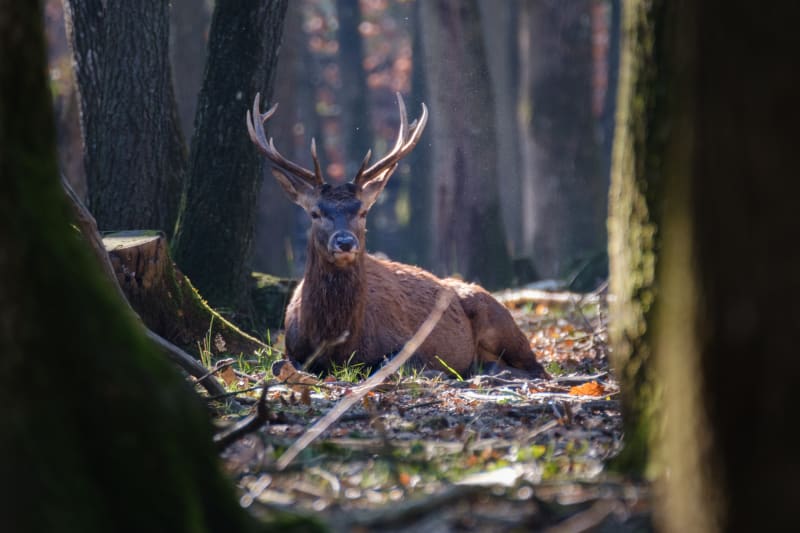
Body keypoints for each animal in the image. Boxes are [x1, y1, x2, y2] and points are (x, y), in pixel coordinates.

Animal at [248, 91, 552, 378]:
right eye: (315, 213)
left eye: (363, 211)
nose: (345, 242)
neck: (337, 342)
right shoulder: (292, 349)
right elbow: (280, 364)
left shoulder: (406, 342)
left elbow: (392, 363)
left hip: (500, 320)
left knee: (538, 367)